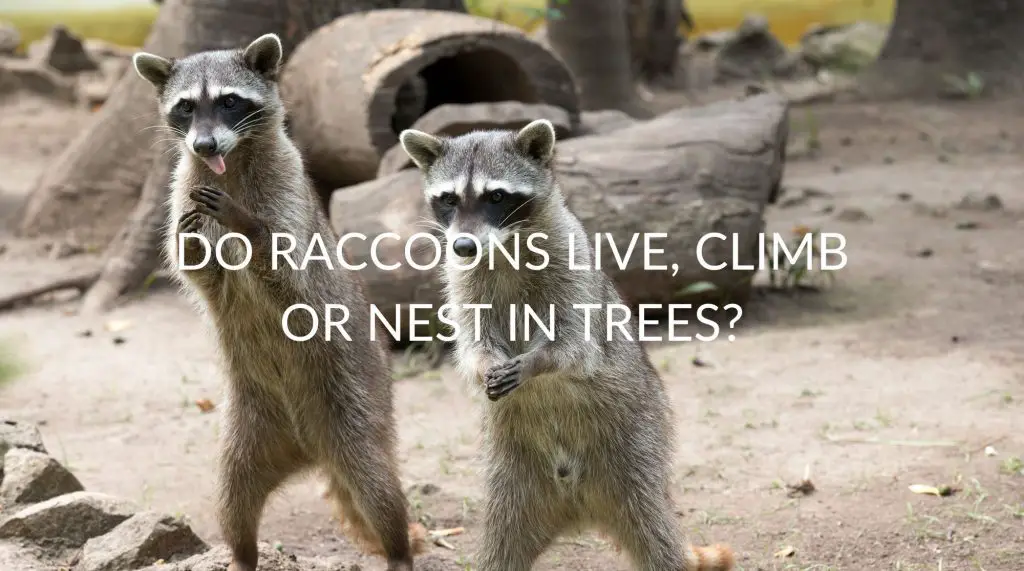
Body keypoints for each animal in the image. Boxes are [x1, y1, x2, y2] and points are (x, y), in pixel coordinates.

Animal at [132, 34, 423, 571]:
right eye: (186, 107)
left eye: (229, 102)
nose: (204, 146)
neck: (230, 163)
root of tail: (310, 452)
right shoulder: (183, 188)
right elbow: (199, 272)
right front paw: (193, 244)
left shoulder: (288, 191)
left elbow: (292, 274)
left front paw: (246, 225)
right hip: (246, 431)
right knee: (233, 500)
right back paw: (242, 554)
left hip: (358, 403)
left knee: (379, 489)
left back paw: (397, 550)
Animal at [398, 119, 735, 571]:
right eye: (449, 199)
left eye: (496, 196)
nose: (463, 245)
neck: (503, 246)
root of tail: (577, 509)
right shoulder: (463, 279)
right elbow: (473, 341)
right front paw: (485, 363)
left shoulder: (570, 263)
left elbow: (576, 344)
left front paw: (537, 361)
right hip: (512, 482)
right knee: (500, 548)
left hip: (638, 445)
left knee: (658, 540)